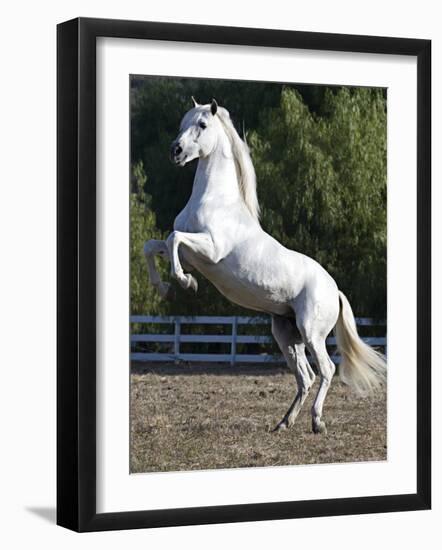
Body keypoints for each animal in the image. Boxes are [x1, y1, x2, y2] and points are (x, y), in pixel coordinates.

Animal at [143, 98, 386, 436]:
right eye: (182, 124)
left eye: (202, 125)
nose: (175, 151)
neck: (215, 200)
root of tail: (335, 290)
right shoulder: (191, 253)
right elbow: (154, 245)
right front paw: (165, 288)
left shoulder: (210, 249)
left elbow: (174, 237)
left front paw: (185, 282)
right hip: (286, 334)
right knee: (306, 376)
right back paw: (283, 423)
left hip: (312, 333)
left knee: (326, 370)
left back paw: (317, 422)